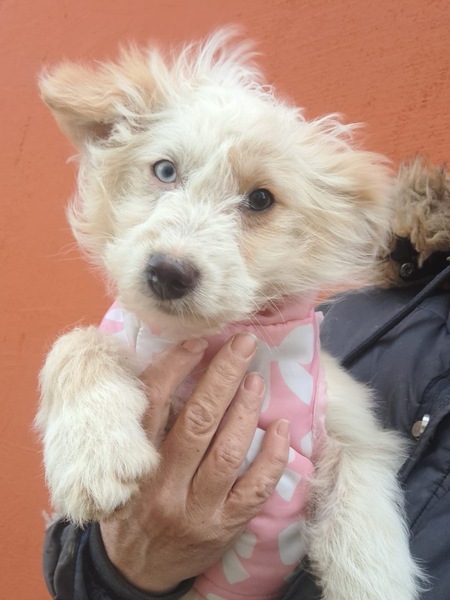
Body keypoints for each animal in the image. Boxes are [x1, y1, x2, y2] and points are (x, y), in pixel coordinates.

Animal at [36, 30, 422, 600]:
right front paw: (95, 451)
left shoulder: (350, 426)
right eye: (165, 170)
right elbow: (74, 343)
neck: (208, 340)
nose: (168, 272)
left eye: (261, 199)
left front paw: (373, 581)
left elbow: (365, 518)